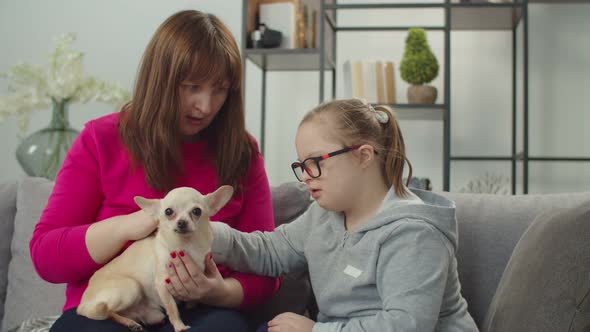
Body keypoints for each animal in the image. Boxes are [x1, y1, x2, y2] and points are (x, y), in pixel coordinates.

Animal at [77, 185, 235, 332]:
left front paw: (191, 305)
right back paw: (130, 323)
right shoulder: (162, 284)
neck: (187, 245)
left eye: (197, 211)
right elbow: (172, 308)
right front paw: (179, 327)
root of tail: (82, 303)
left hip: (151, 313)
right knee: (108, 312)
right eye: (168, 211)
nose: (182, 222)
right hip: (131, 287)